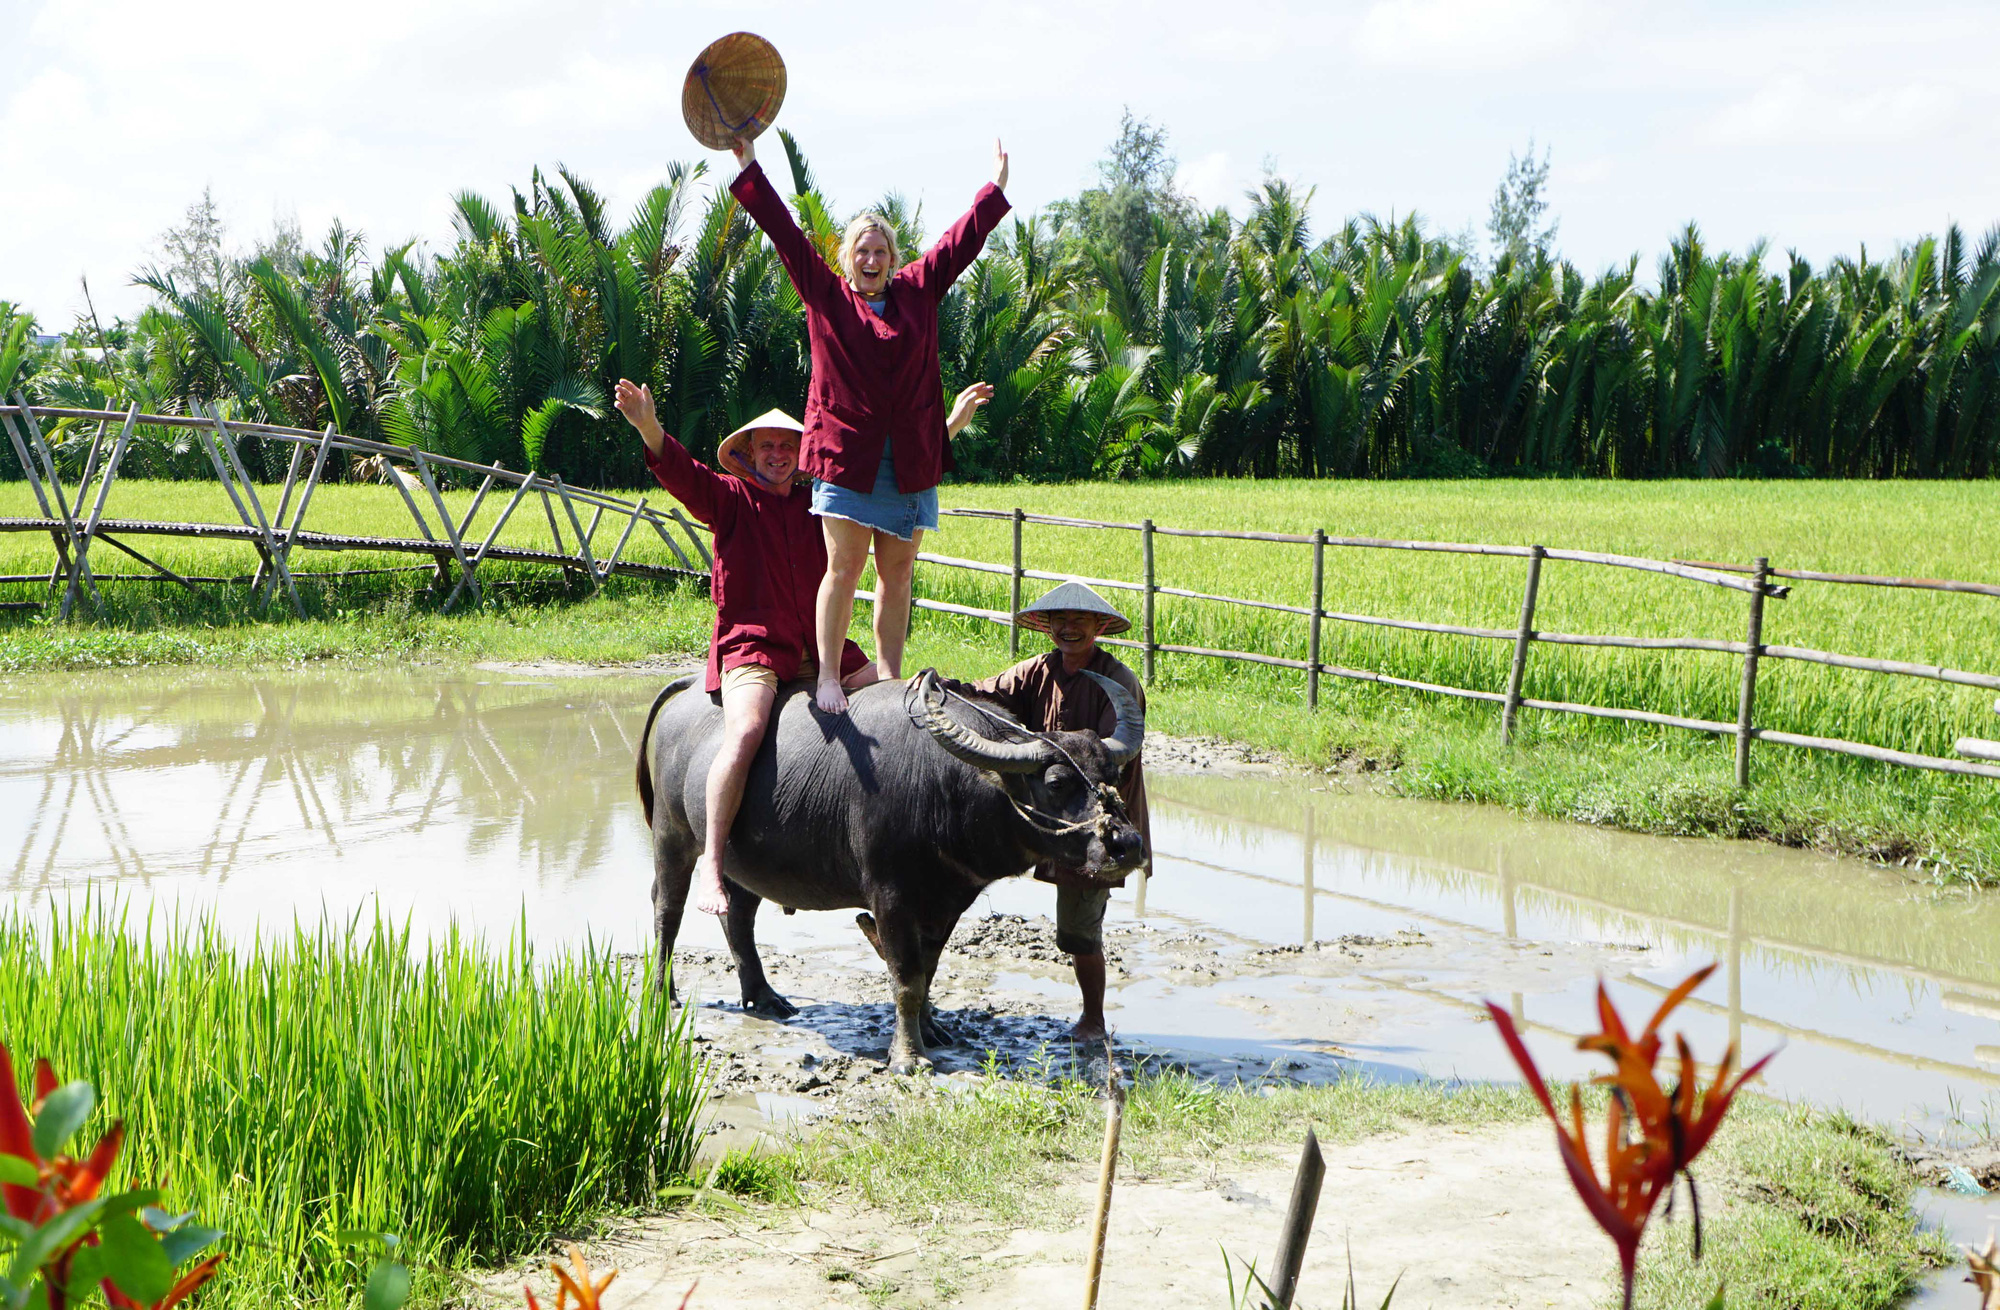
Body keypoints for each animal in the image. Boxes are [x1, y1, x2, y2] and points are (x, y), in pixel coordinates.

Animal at [632, 672, 1152, 1072]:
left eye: (1112, 773)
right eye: (1057, 782)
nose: (1126, 845)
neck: (942, 785)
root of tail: (687, 689)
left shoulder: (948, 900)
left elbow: (928, 970)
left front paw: (931, 1029)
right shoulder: (889, 896)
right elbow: (905, 975)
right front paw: (908, 1056)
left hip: (747, 862)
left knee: (737, 915)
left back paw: (763, 996)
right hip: (672, 836)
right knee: (666, 908)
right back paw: (662, 993)